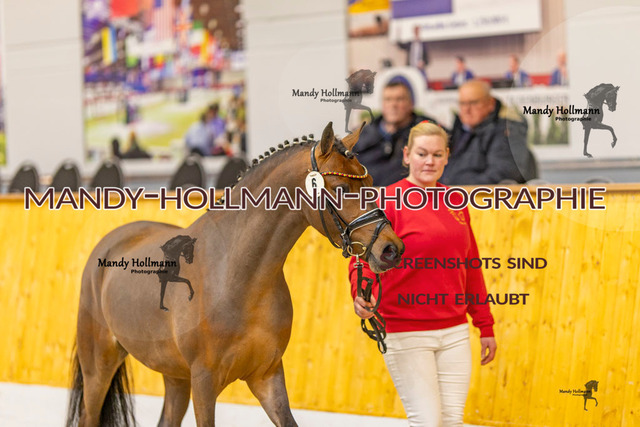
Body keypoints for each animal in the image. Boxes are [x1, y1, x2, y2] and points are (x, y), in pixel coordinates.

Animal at [65, 122, 404, 427]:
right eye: (340, 189)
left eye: (371, 181)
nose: (390, 249)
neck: (237, 276)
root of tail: (110, 242)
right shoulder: (204, 383)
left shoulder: (267, 376)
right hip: (99, 365)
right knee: (88, 416)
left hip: (175, 375)